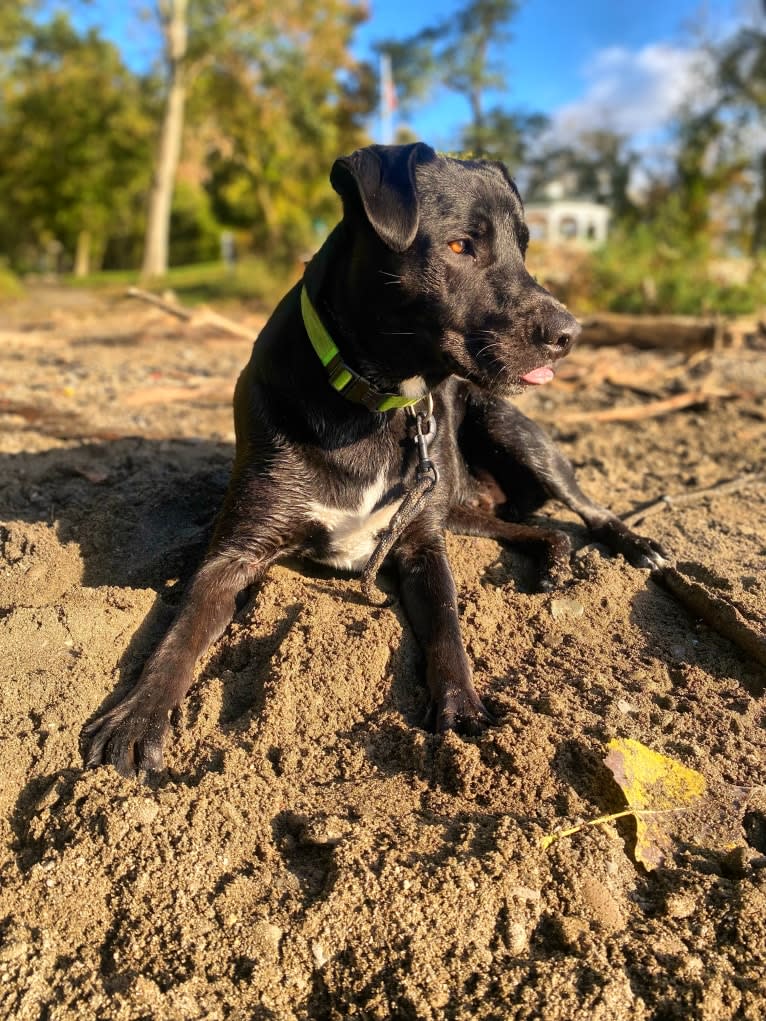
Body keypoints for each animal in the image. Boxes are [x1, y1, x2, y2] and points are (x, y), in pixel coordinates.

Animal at [81, 143, 661, 775]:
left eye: (524, 246)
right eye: (461, 245)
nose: (570, 334)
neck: (377, 404)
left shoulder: (423, 546)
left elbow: (447, 627)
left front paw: (462, 708)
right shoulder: (234, 554)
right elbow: (179, 634)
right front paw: (137, 717)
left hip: (513, 435)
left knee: (586, 506)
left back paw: (637, 544)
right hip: (462, 506)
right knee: (538, 528)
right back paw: (555, 561)